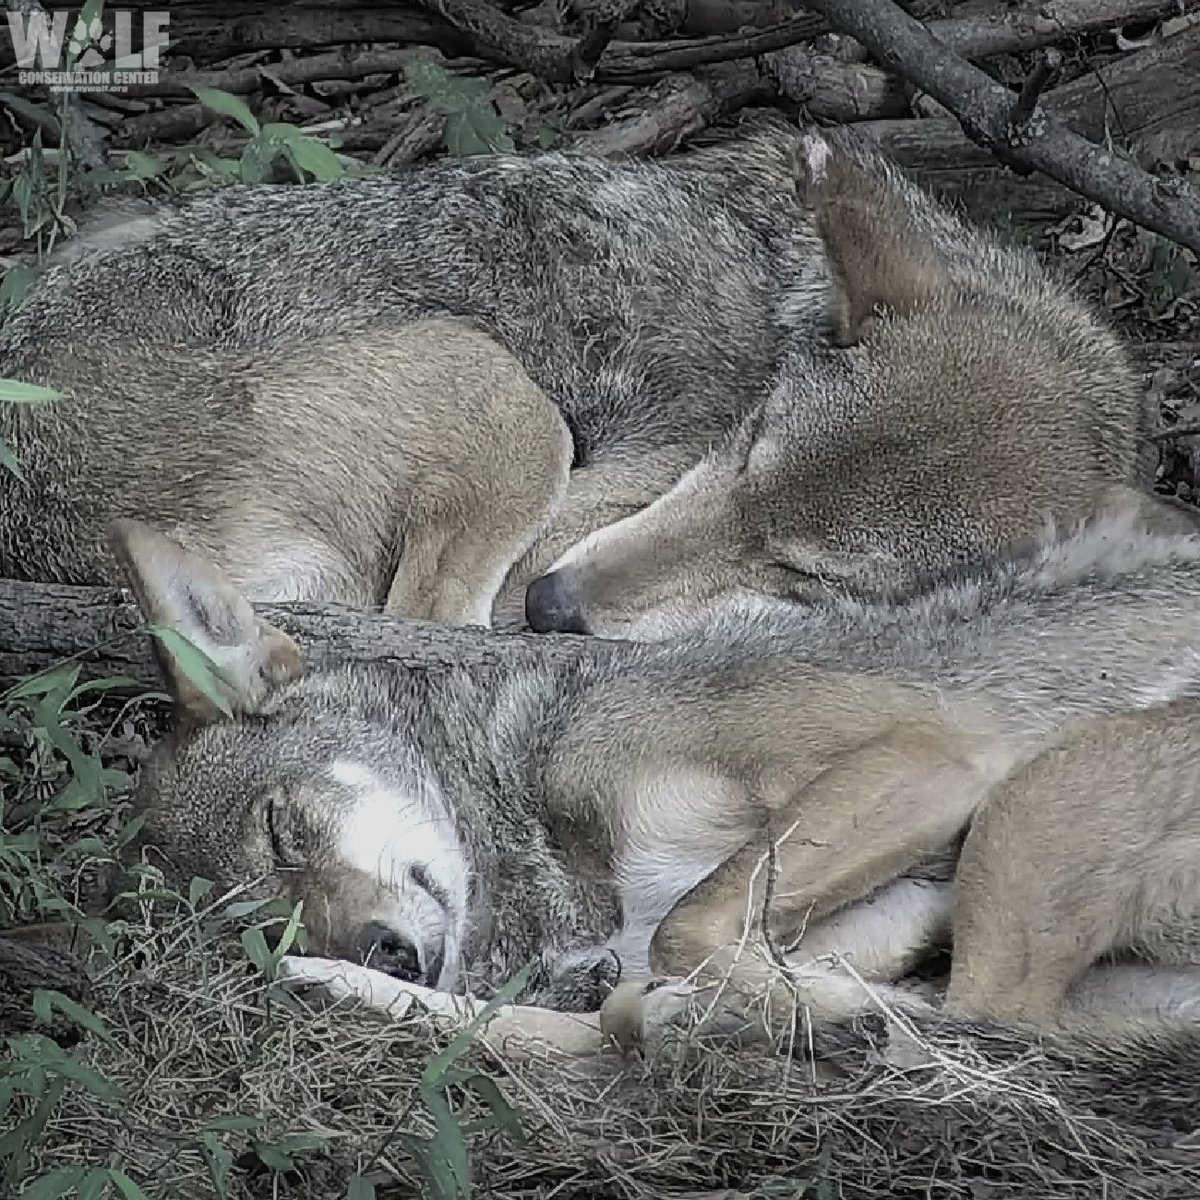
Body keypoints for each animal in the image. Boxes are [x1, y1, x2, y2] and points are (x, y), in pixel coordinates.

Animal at [109, 508, 1200, 1065]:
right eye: (261, 922)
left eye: (283, 830)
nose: (383, 949)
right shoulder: (880, 909)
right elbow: (591, 1007)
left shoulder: (936, 755)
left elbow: (680, 934)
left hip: (1033, 800)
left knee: (994, 1012)